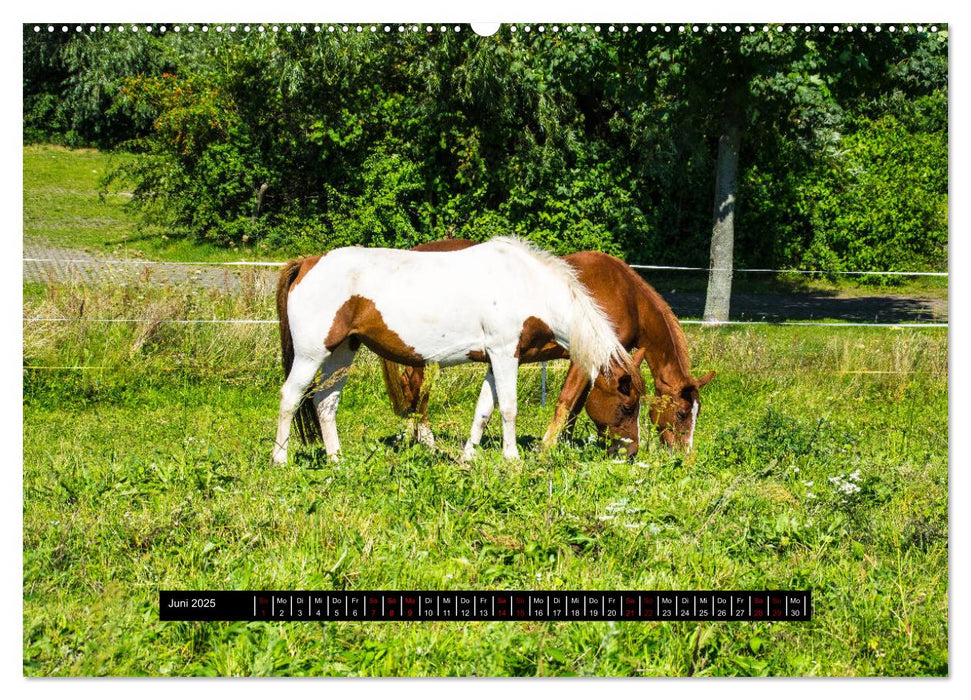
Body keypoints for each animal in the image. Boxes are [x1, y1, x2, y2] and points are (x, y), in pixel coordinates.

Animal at [274, 237, 636, 464]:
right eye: (628, 405)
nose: (630, 454)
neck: (528, 286)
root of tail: (307, 262)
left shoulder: (493, 360)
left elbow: (483, 411)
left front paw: (468, 457)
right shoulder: (506, 355)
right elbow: (508, 409)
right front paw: (512, 458)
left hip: (341, 353)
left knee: (325, 402)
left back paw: (336, 460)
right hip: (311, 355)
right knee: (291, 397)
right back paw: (280, 459)